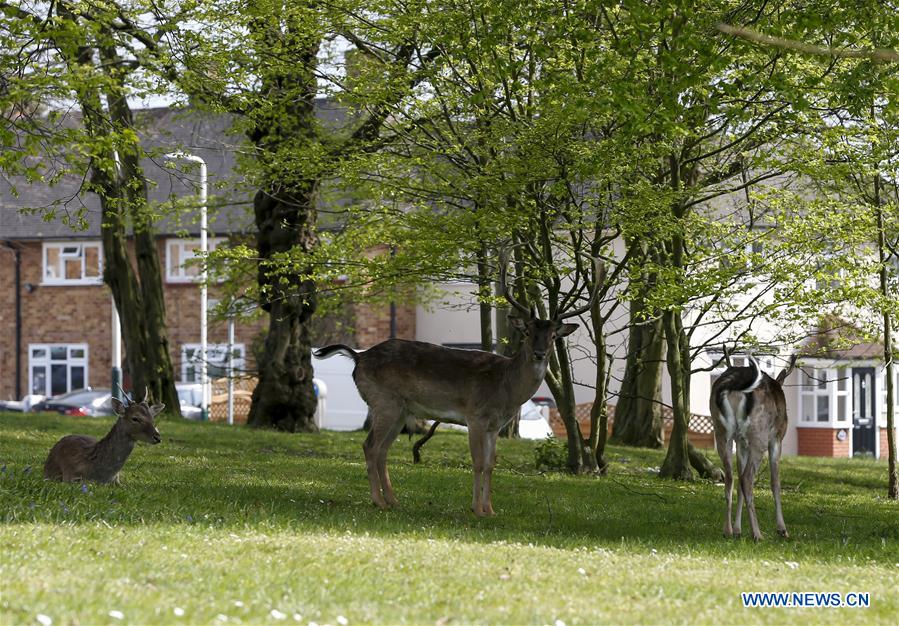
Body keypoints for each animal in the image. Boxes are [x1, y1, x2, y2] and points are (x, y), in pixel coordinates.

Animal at [312, 251, 588, 516]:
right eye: (528, 331)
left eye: (553, 335)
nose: (540, 353)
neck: (505, 387)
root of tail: (358, 357)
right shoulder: (475, 416)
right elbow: (478, 462)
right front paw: (477, 509)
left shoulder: (495, 426)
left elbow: (491, 464)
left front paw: (491, 510)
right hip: (384, 401)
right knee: (370, 446)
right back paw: (378, 501)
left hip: (400, 410)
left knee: (382, 450)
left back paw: (393, 501)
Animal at [712, 354, 800, 540]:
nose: (734, 530)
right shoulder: (776, 439)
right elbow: (775, 482)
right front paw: (782, 529)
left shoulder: (741, 442)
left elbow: (739, 482)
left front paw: (738, 529)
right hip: (759, 435)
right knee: (747, 478)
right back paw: (757, 534)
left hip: (722, 431)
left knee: (730, 477)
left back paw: (728, 530)